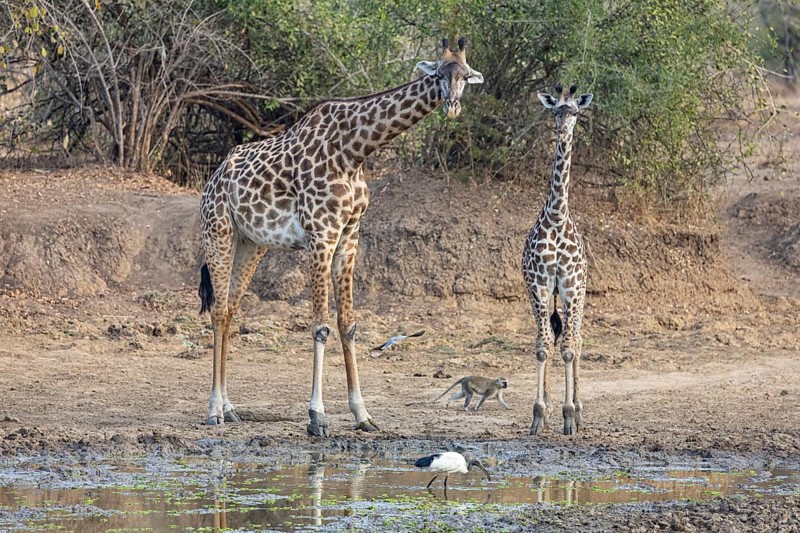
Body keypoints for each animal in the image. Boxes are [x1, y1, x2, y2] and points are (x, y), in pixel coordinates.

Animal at [197, 38, 484, 436]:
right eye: (440, 74)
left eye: (466, 76)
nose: (453, 106)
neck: (355, 151)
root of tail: (213, 177)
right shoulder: (321, 234)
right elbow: (320, 327)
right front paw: (316, 417)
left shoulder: (349, 237)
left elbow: (348, 326)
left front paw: (362, 415)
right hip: (218, 231)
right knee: (218, 310)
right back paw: (213, 410)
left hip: (251, 244)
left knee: (231, 309)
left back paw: (230, 407)